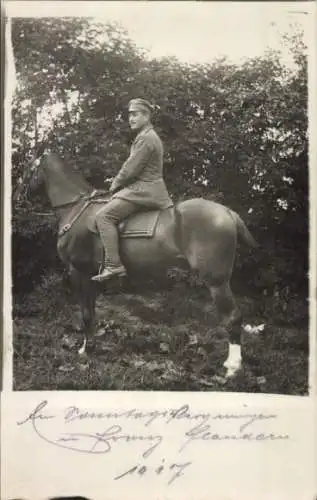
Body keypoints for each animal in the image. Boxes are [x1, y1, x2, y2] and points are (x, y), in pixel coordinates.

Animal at [27, 151, 256, 378]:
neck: (76, 210)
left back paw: (232, 367)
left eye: (31, 168)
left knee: (233, 317)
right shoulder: (91, 275)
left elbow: (85, 313)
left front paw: (84, 350)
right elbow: (91, 312)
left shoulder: (78, 272)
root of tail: (227, 212)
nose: (25, 195)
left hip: (216, 281)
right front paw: (91, 345)